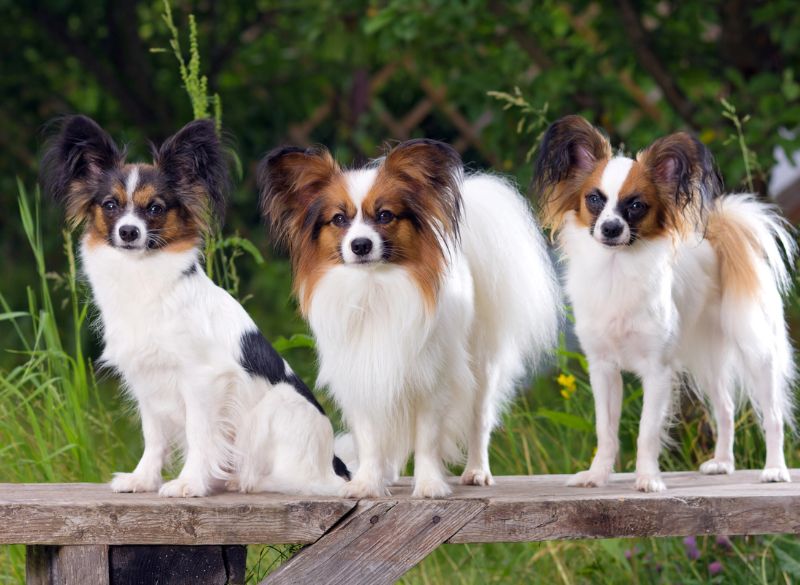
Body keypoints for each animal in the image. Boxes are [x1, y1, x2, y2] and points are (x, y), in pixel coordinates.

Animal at [40, 115, 346, 498]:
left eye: (155, 208)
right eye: (110, 205)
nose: (128, 232)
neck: (142, 276)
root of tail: (333, 466)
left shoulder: (203, 380)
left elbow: (200, 435)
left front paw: (190, 483)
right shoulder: (148, 382)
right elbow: (153, 437)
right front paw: (143, 479)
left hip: (277, 409)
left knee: (297, 480)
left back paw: (246, 479)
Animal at [260, 138, 560, 498]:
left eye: (385, 215)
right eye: (339, 220)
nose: (360, 245)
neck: (374, 288)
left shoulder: (431, 380)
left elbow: (427, 440)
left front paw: (429, 485)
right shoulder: (362, 373)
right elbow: (370, 437)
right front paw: (366, 483)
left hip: (481, 367)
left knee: (479, 419)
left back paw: (476, 471)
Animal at [532, 113, 792, 488]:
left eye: (636, 205)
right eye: (594, 200)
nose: (610, 228)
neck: (617, 270)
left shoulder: (657, 371)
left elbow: (647, 432)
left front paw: (647, 479)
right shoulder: (603, 368)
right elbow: (605, 430)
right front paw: (597, 475)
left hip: (756, 350)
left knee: (772, 414)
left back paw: (775, 469)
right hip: (708, 359)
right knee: (726, 408)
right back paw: (723, 463)